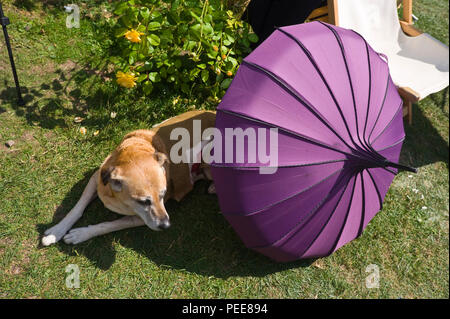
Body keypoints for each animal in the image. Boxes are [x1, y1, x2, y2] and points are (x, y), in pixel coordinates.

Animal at [41, 110, 216, 248]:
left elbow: (109, 225)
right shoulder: (96, 178)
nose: (166, 225)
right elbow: (77, 208)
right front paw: (56, 231)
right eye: (143, 201)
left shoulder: (141, 218)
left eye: (163, 194)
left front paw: (81, 234)